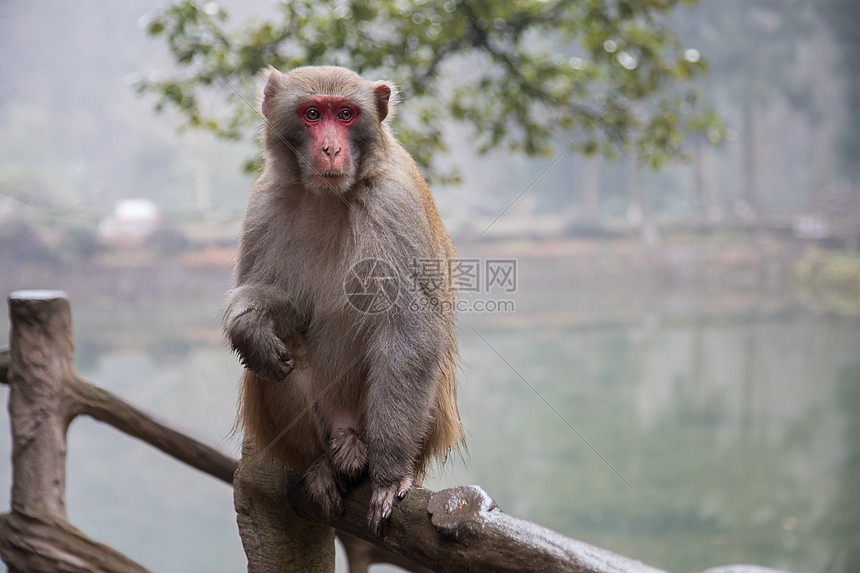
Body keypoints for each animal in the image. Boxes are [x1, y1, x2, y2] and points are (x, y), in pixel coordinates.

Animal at [223, 66, 464, 532]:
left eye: (347, 114)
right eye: (313, 114)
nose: (332, 148)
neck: (328, 197)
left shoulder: (395, 203)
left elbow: (410, 331)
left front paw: (389, 475)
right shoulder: (266, 200)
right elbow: (285, 303)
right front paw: (248, 325)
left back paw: (363, 458)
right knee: (279, 362)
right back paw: (320, 464)